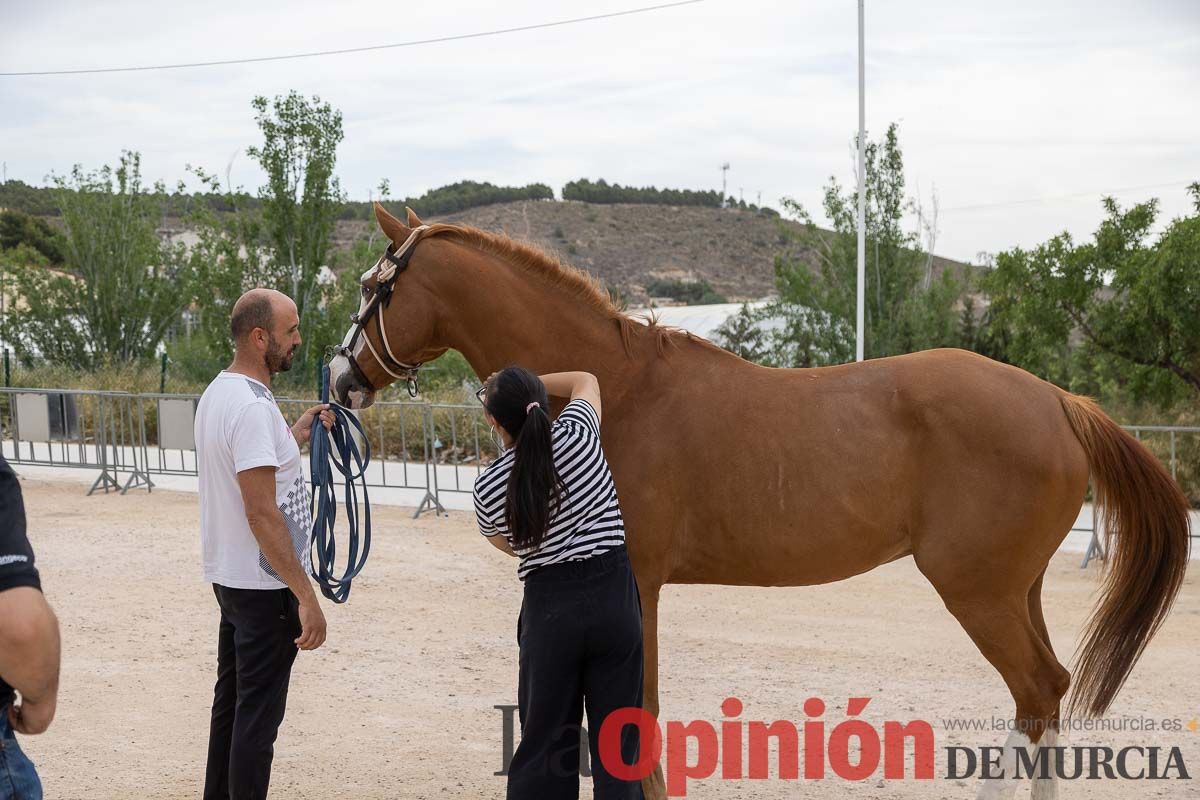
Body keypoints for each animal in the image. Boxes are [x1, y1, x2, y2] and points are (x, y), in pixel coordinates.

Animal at [328, 203, 1190, 796]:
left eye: (374, 287)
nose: (338, 379)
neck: (619, 386)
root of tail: (1058, 400)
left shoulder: (636, 582)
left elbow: (638, 713)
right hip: (1017, 589)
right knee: (1048, 693)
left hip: (978, 590)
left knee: (1036, 691)